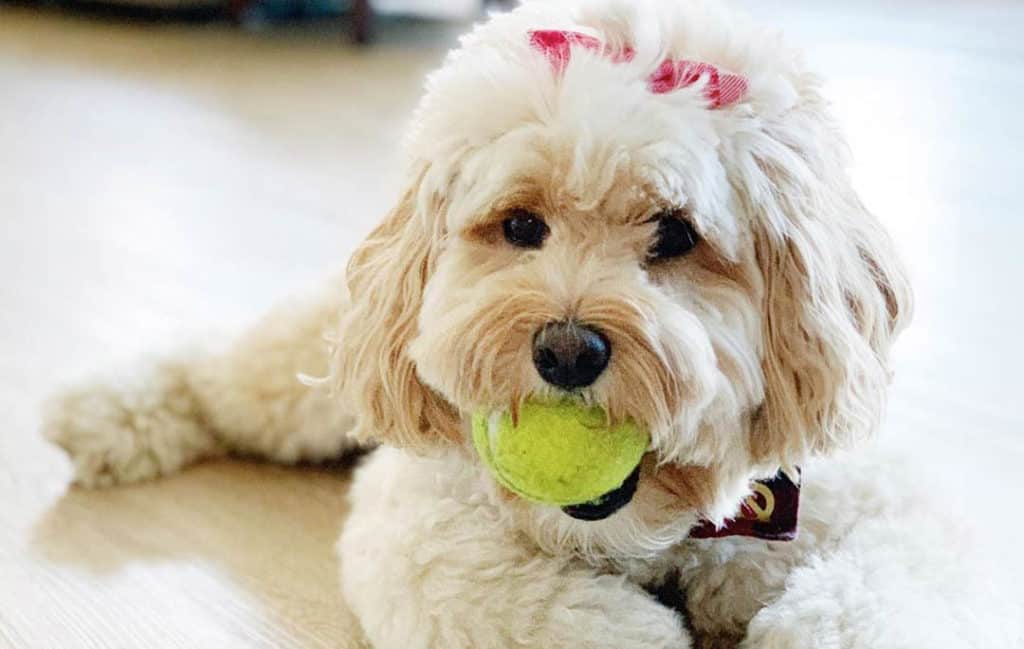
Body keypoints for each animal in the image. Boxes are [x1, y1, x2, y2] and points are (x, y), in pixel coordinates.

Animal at [39, 1, 1015, 646]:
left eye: (675, 234)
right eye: (520, 225)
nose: (566, 349)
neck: (658, 533)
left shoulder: (896, 510)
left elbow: (867, 599)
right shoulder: (423, 524)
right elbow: (541, 607)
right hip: (318, 372)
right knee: (222, 371)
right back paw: (101, 413)